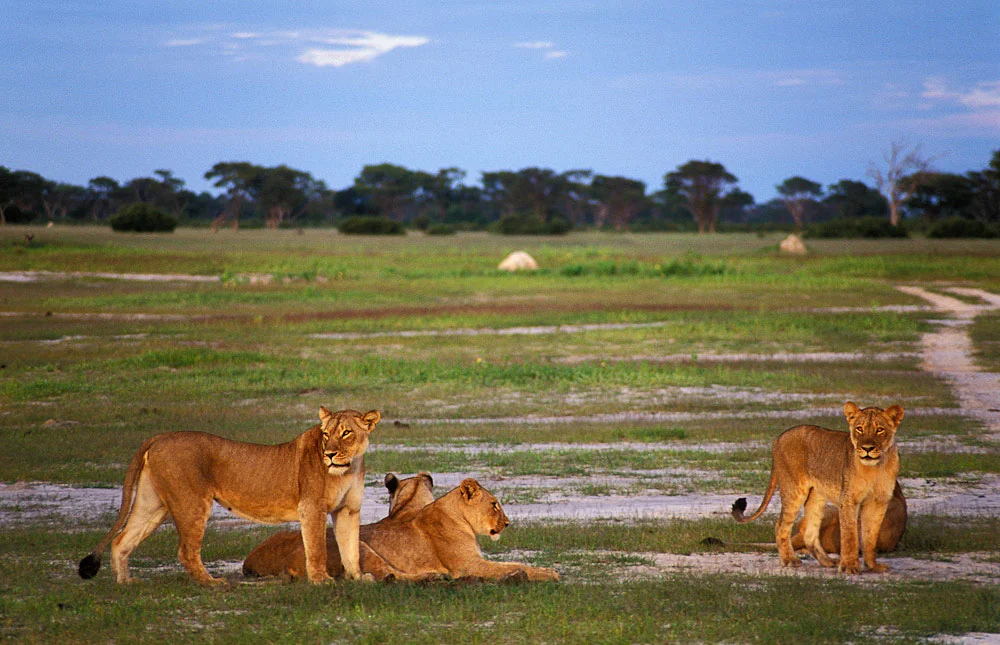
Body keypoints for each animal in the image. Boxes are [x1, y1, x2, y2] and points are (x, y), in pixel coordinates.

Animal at [78, 407, 381, 586]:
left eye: (346, 433)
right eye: (326, 434)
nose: (329, 454)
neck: (350, 467)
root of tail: (161, 436)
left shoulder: (348, 511)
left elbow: (350, 548)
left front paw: (358, 577)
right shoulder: (312, 508)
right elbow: (317, 548)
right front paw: (321, 580)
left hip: (152, 504)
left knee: (121, 540)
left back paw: (126, 583)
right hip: (191, 502)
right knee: (186, 551)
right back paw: (212, 583)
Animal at [732, 402, 904, 574]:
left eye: (880, 429)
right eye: (859, 428)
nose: (867, 448)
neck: (876, 468)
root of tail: (779, 438)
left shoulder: (879, 501)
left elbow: (870, 537)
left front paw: (873, 566)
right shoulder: (848, 499)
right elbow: (850, 535)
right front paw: (849, 566)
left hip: (816, 496)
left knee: (809, 533)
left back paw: (828, 562)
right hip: (794, 490)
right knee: (781, 526)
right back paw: (789, 560)